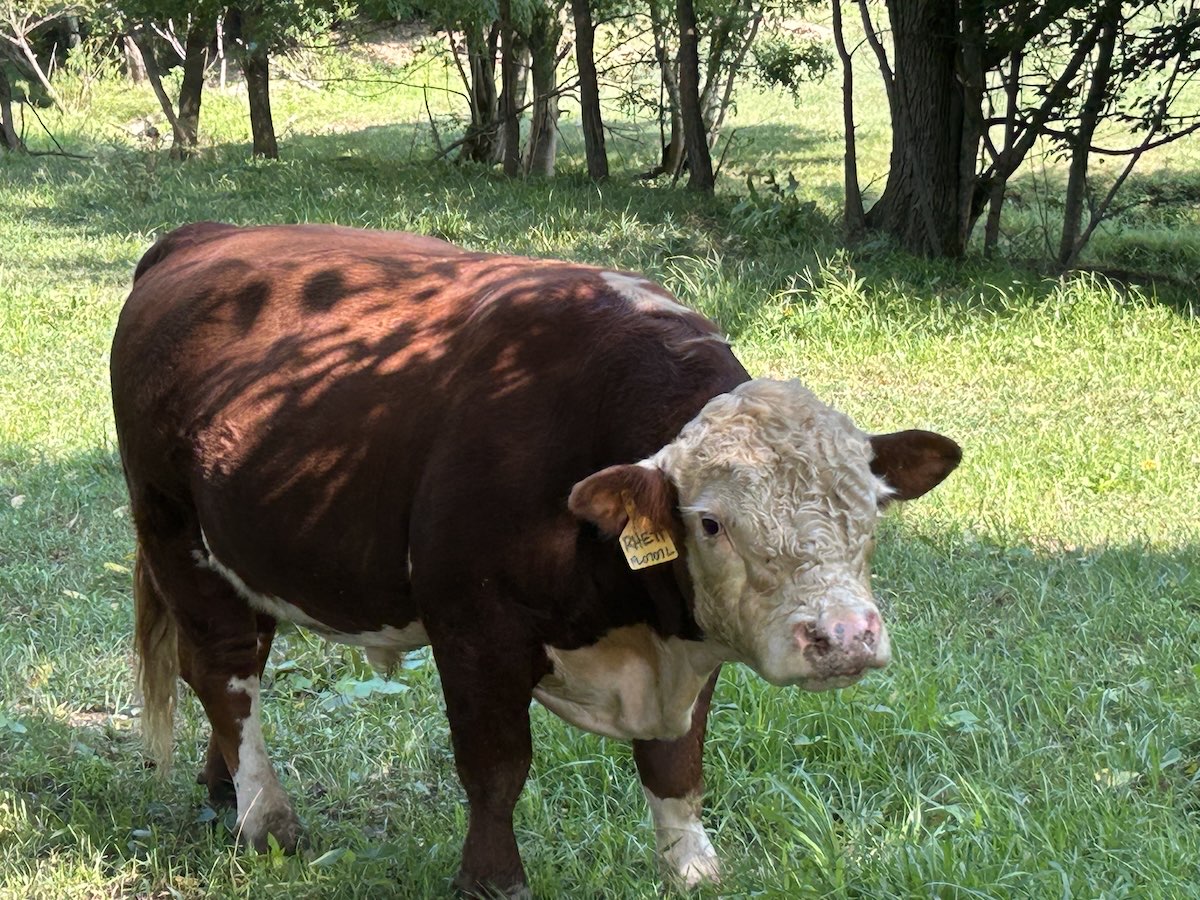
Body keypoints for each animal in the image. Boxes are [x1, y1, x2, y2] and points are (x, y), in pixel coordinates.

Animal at [111, 222, 960, 897]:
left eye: (872, 508)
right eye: (711, 523)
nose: (842, 638)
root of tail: (204, 233)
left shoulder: (690, 644)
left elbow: (677, 764)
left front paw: (692, 870)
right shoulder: (474, 630)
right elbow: (496, 767)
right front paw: (492, 880)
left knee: (236, 665)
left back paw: (223, 790)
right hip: (174, 531)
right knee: (225, 673)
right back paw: (265, 815)